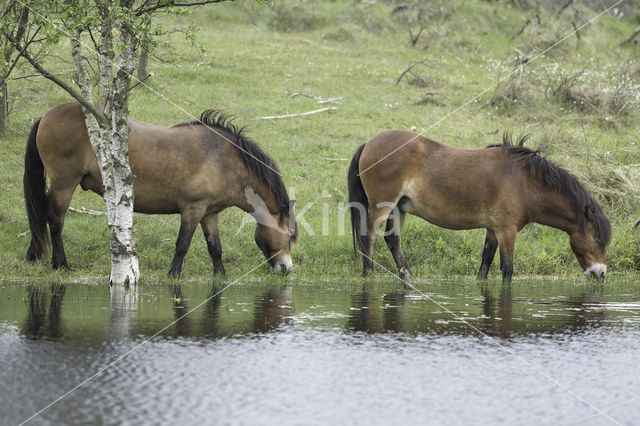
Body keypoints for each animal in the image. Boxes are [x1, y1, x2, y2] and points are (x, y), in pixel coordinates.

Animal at [22, 103, 298, 276]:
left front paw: (220, 276)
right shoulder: (192, 210)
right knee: (55, 219)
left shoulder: (209, 213)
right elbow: (182, 244)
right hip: (64, 184)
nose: (286, 268)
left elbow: (215, 248)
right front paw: (173, 274)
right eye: (290, 234)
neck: (223, 159)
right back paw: (61, 263)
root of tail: (46, 116)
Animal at [348, 130, 612, 282]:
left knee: (392, 241)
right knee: (368, 236)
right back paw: (368, 274)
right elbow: (507, 268)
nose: (600, 273)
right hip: (382, 206)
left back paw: (406, 276)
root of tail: (369, 143)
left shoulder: (493, 230)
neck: (526, 182)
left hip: (398, 209)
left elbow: (485, 262)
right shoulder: (507, 230)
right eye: (597, 239)